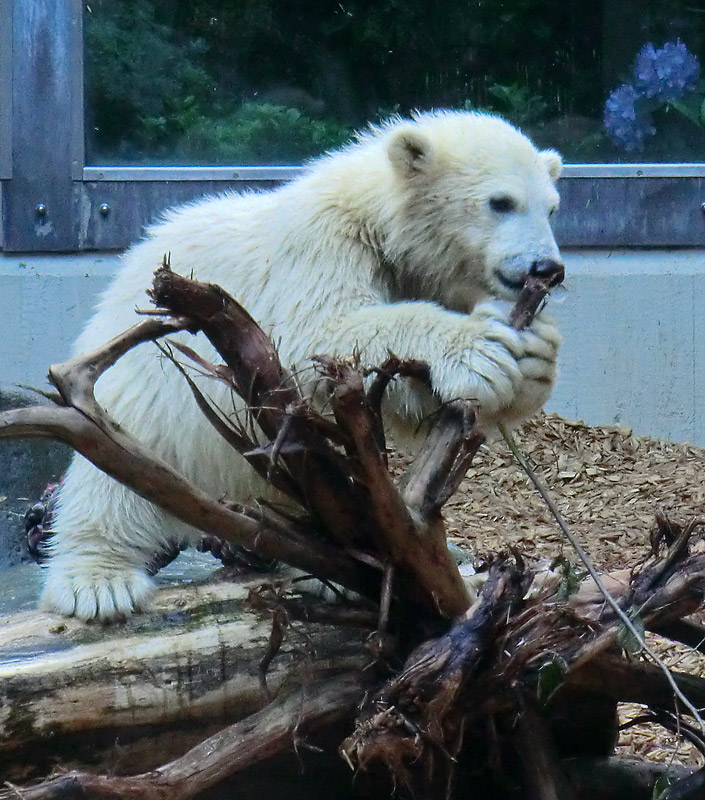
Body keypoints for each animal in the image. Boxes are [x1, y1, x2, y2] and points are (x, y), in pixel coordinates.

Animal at [41, 109, 564, 620]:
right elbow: (317, 333)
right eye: (501, 202)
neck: (377, 223)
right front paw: (481, 344)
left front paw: (536, 355)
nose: (548, 268)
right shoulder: (318, 247)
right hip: (142, 377)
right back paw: (97, 580)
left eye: (552, 208)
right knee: (117, 471)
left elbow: (416, 400)